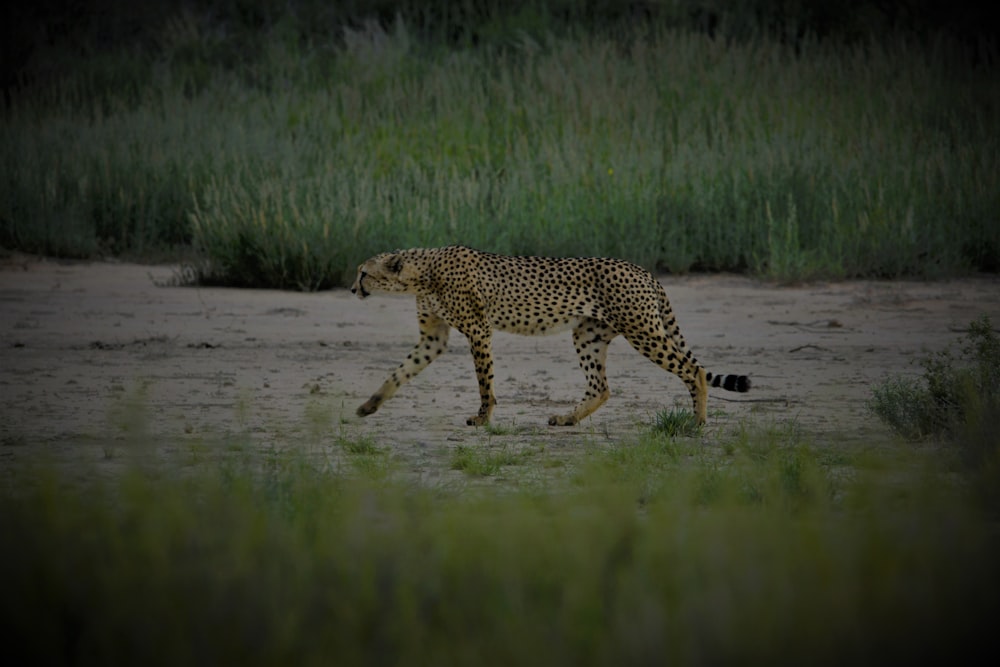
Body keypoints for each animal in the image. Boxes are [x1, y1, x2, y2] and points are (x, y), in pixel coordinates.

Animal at [352, 247, 752, 428]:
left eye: (363, 273)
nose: (353, 289)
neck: (421, 271)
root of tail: (640, 269)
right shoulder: (433, 339)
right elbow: (399, 372)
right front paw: (370, 405)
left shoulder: (479, 330)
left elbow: (484, 381)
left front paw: (483, 417)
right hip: (588, 334)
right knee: (601, 387)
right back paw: (567, 419)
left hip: (642, 331)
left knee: (693, 370)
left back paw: (697, 422)